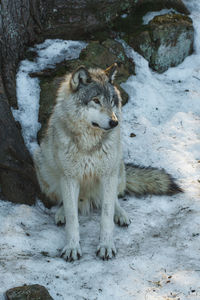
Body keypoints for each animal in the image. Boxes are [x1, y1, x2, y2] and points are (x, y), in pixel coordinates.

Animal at [33, 62, 181, 260]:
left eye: (111, 101)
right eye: (96, 100)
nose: (114, 122)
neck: (89, 144)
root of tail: (87, 198)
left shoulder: (107, 175)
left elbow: (106, 215)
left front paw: (106, 246)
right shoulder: (70, 178)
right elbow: (72, 218)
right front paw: (72, 247)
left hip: (117, 169)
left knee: (114, 199)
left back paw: (121, 215)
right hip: (44, 168)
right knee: (66, 202)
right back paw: (62, 213)